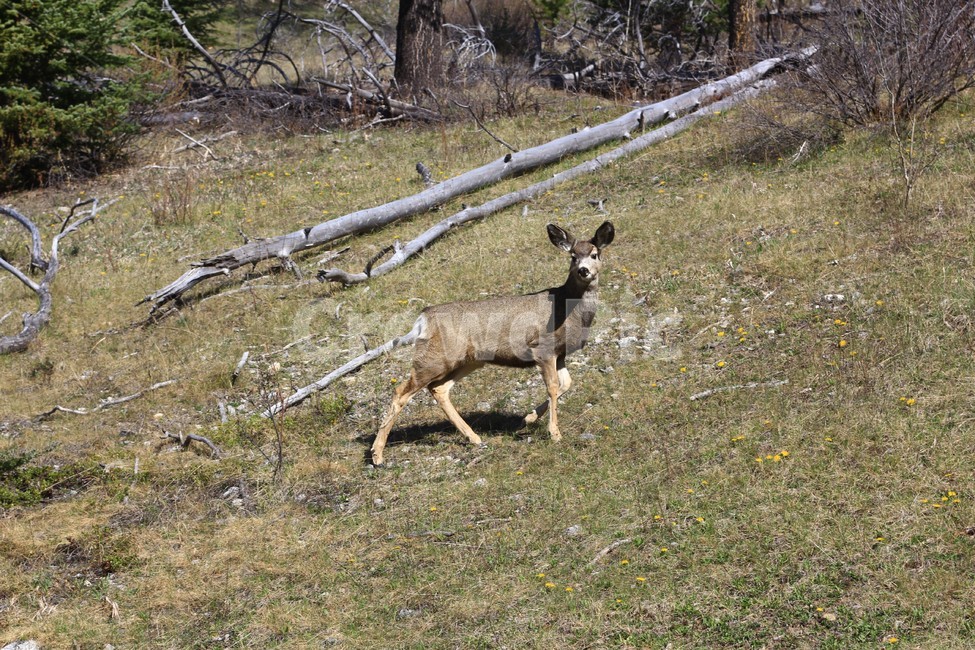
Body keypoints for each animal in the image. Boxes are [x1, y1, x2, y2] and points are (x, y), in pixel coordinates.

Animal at [370, 221, 615, 466]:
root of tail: (423, 319)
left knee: (438, 389)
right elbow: (553, 387)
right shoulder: (542, 348)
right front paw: (554, 433)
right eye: (573, 256)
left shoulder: (560, 353)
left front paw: (527, 419)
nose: (583, 270)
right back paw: (377, 454)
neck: (569, 309)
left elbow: (566, 384)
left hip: (467, 360)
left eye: (594, 254)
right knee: (400, 392)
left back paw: (474, 438)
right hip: (435, 358)